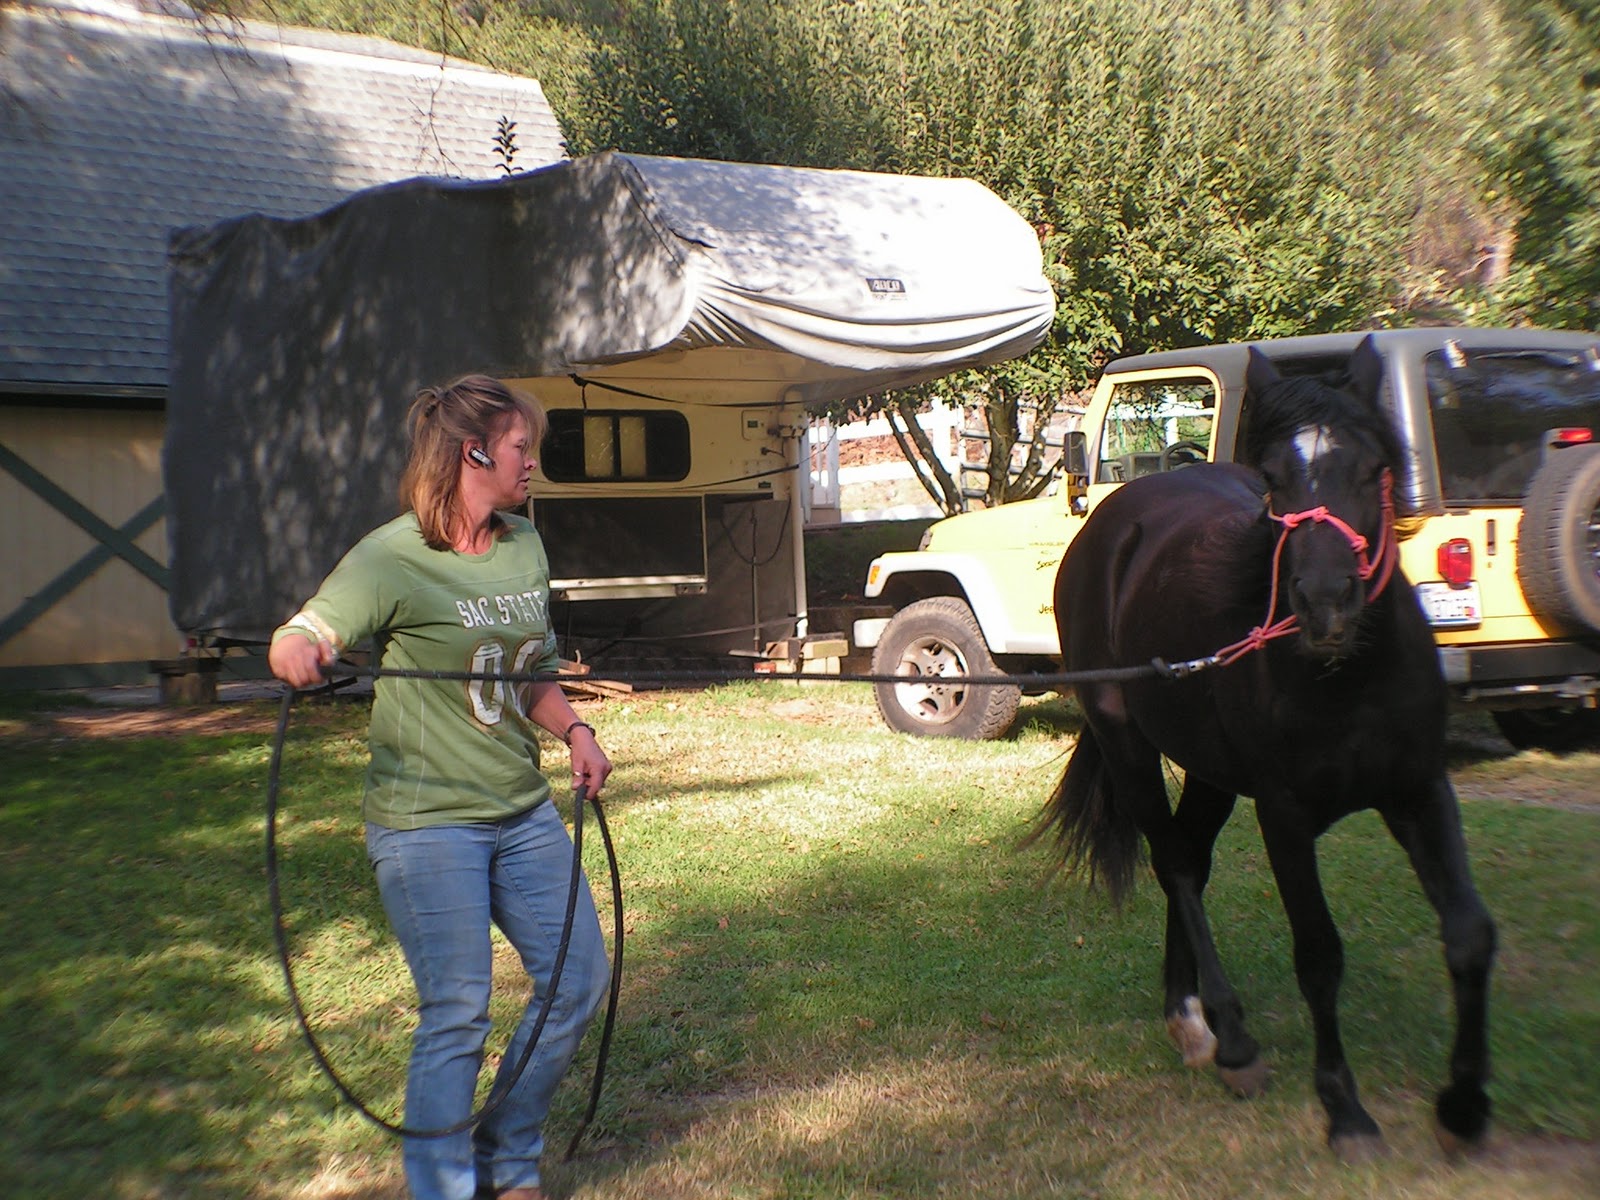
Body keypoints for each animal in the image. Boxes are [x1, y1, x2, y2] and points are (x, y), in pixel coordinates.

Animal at [1029, 338, 1496, 1161]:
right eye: (1275, 480)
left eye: (1374, 468)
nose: (1325, 600)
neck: (1348, 678)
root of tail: (1112, 517)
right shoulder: (1285, 815)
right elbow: (1318, 954)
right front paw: (1345, 1111)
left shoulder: (1420, 791)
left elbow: (1469, 934)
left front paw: (1464, 1108)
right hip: (1128, 746)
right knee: (1177, 866)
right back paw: (1225, 1036)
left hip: (1212, 773)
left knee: (1191, 857)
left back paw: (1191, 1017)